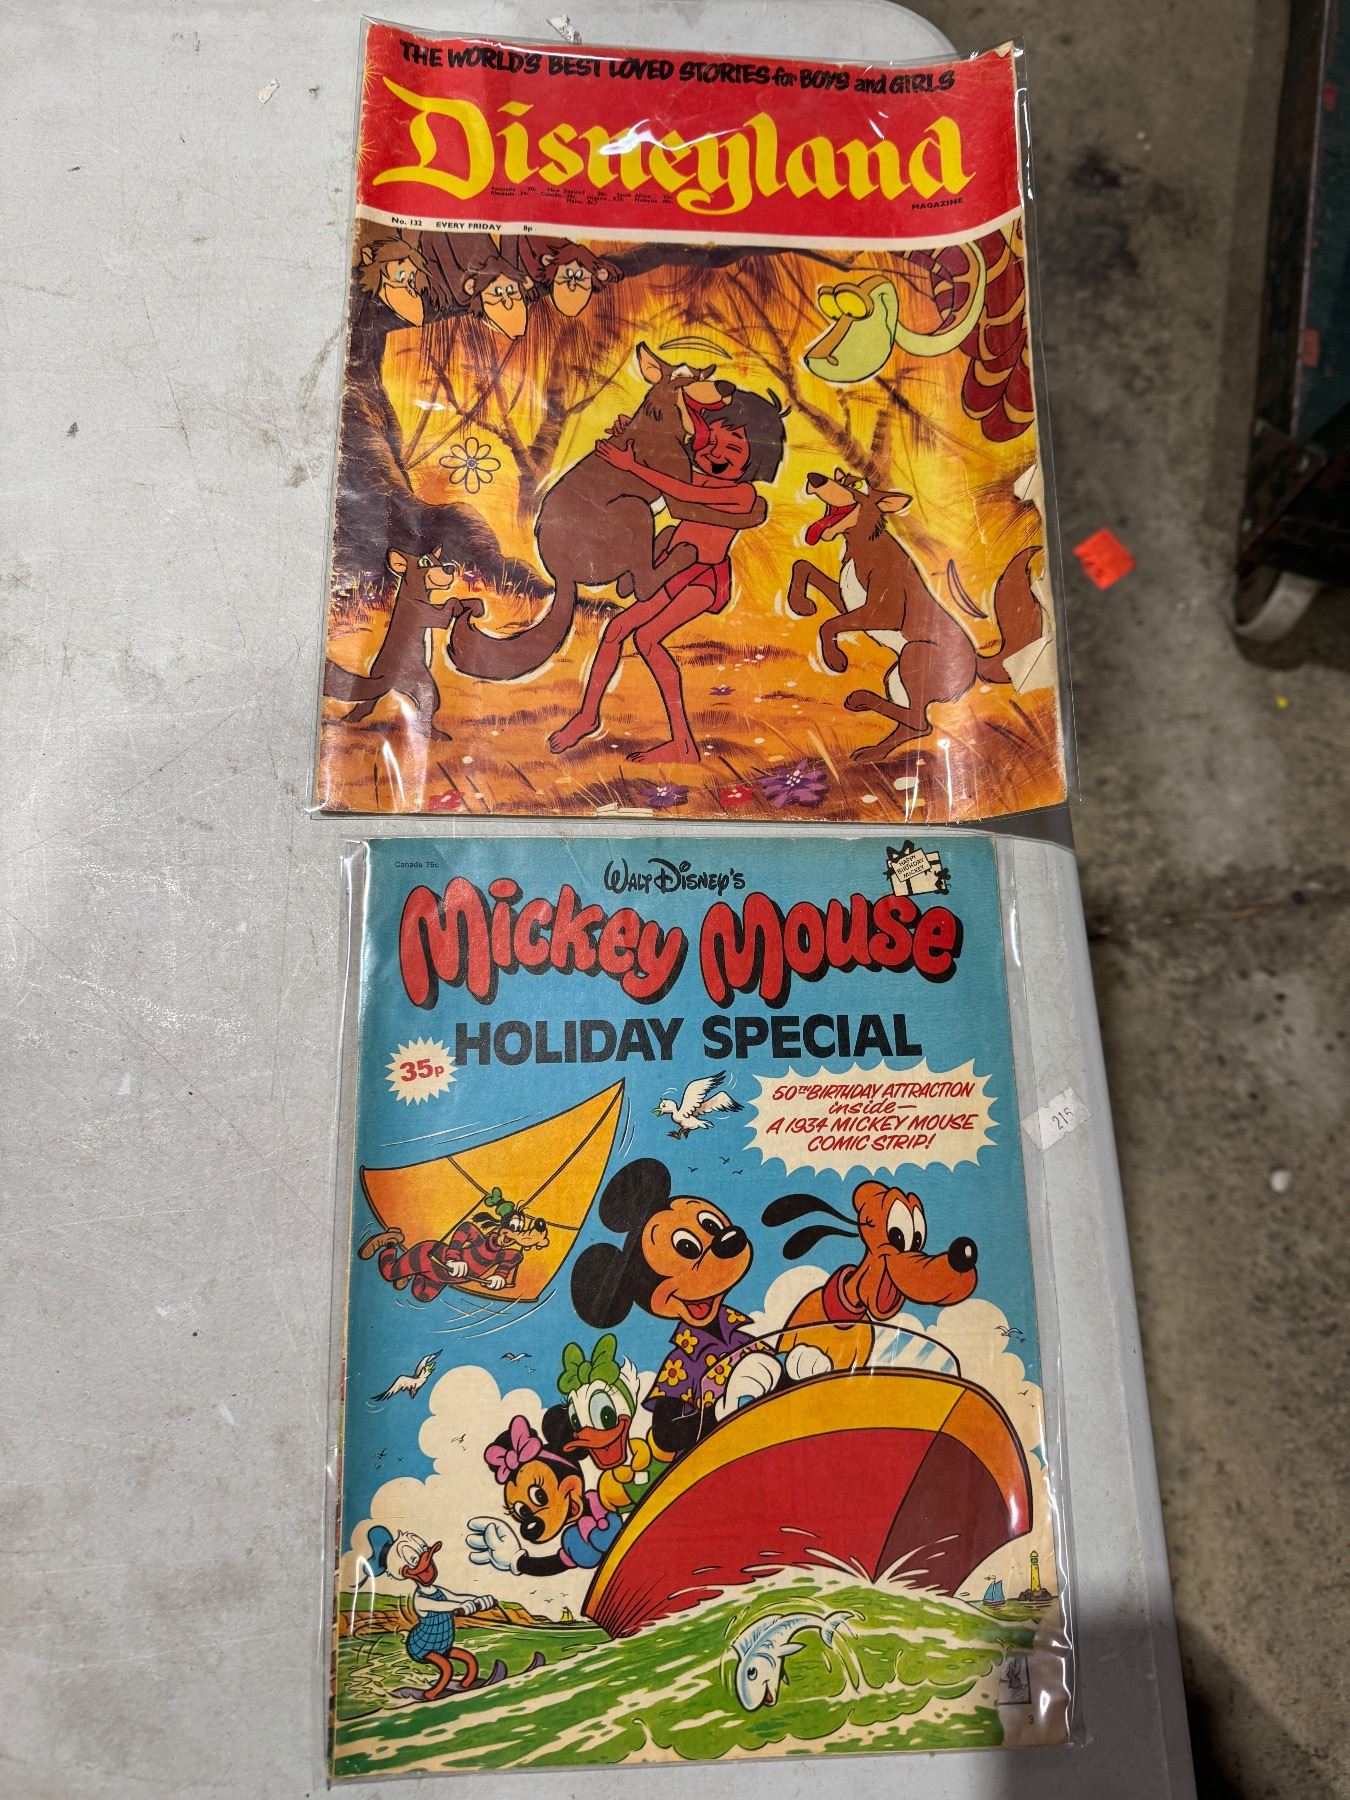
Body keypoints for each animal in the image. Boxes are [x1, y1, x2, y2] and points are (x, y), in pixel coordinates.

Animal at [788, 469, 1043, 761]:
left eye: (856, 484)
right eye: (838, 478)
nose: (814, 478)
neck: (862, 545)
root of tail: (976, 663)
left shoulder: (885, 612)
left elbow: (829, 624)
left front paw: (835, 659)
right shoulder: (849, 602)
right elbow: (803, 566)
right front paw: (800, 604)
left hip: (913, 653)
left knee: (919, 721)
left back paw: (861, 700)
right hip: (896, 675)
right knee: (917, 724)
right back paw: (872, 751)